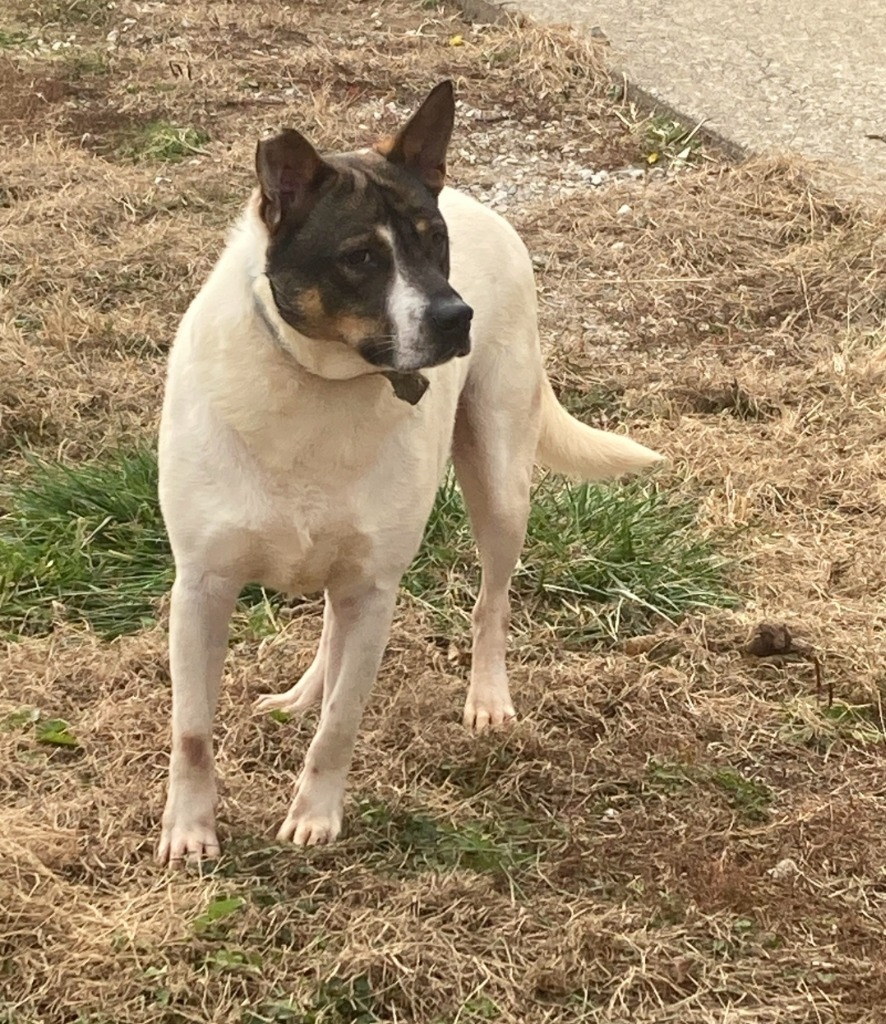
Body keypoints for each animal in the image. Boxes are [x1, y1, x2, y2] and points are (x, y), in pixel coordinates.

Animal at [155, 81, 659, 864]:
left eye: (435, 241)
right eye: (361, 257)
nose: (457, 317)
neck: (319, 382)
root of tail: (481, 202)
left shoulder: (375, 588)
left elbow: (339, 726)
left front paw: (315, 817)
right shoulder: (202, 589)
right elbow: (193, 731)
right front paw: (189, 829)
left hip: (499, 483)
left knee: (490, 603)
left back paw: (487, 698)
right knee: (329, 635)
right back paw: (300, 696)